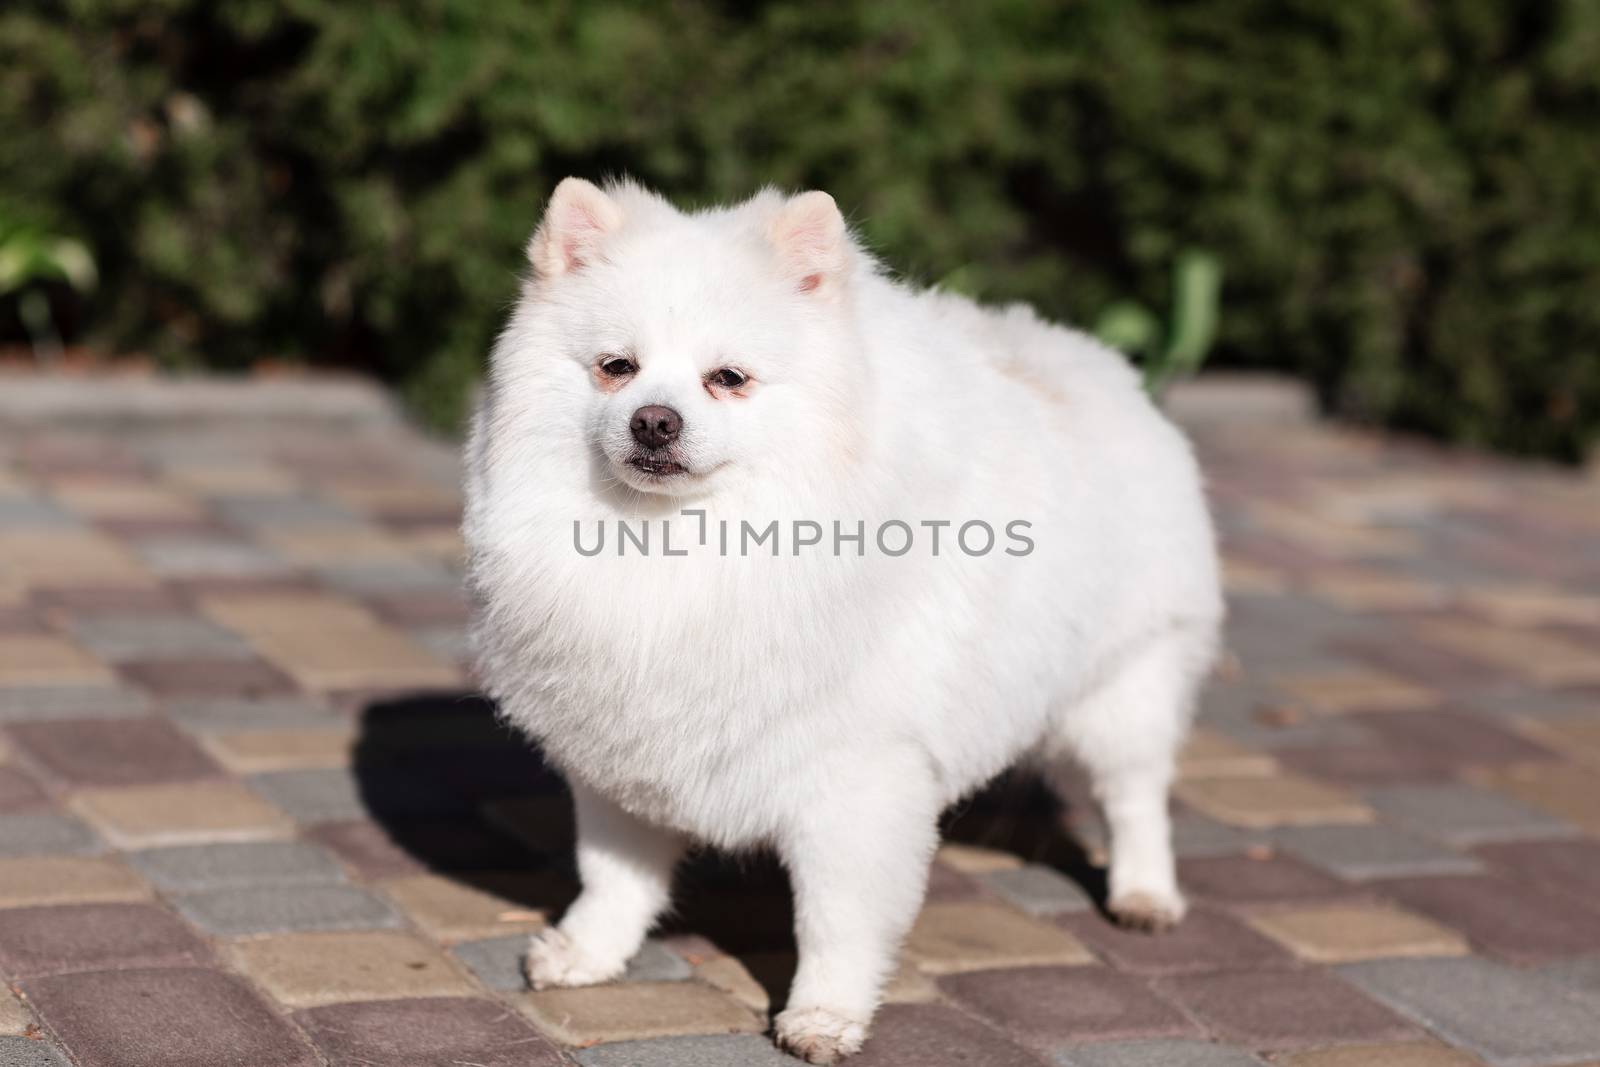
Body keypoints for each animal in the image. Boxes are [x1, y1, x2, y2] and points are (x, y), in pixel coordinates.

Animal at [464, 175, 1222, 1062]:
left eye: (728, 378)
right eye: (618, 368)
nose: (654, 419)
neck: (684, 548)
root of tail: (1105, 368)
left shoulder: (857, 778)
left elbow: (837, 920)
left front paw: (824, 1013)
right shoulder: (624, 749)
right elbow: (614, 873)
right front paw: (588, 951)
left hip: (1125, 683)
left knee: (1136, 794)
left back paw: (1144, 892)